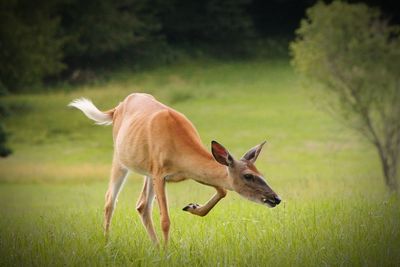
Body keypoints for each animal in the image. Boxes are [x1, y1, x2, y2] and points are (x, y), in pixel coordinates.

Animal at [69, 93, 282, 246]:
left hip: (147, 171)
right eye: (248, 176)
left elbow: (222, 190)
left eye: (261, 173)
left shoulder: (187, 173)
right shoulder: (160, 173)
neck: (179, 150)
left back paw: (154, 246)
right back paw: (107, 243)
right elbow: (165, 220)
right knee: (110, 200)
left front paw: (192, 207)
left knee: (141, 205)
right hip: (121, 159)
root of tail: (117, 107)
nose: (276, 198)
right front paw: (167, 252)